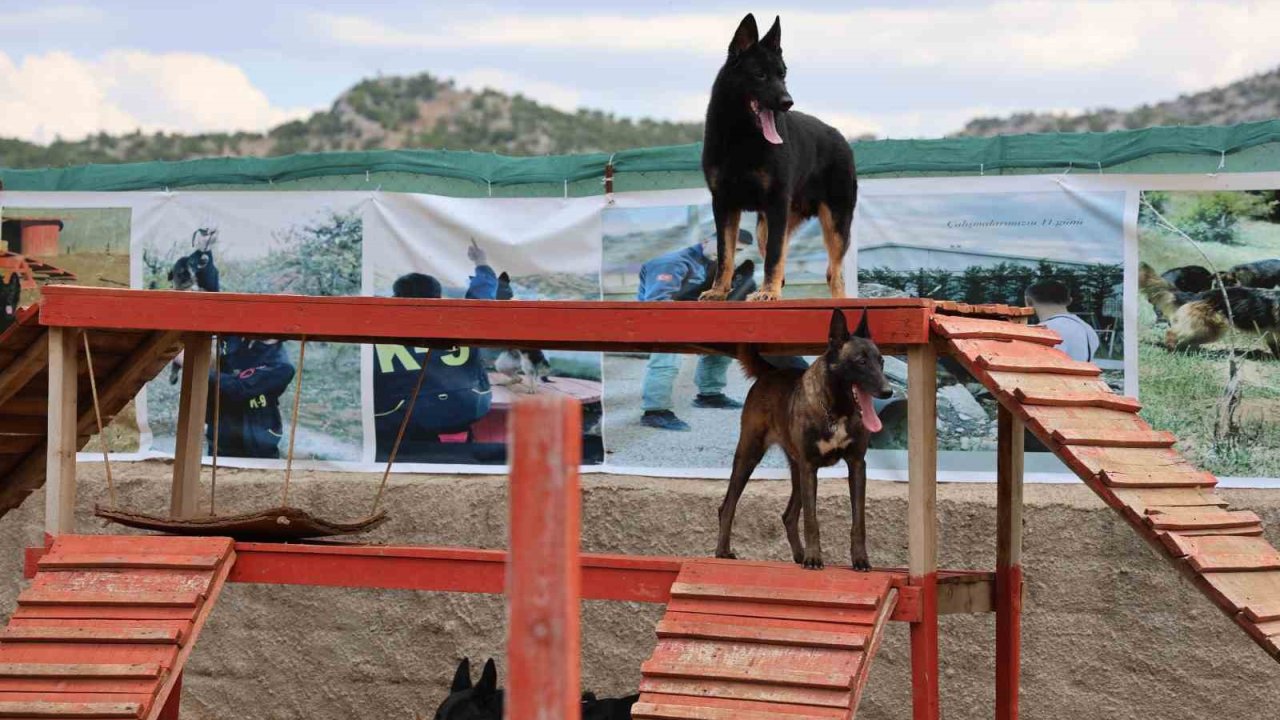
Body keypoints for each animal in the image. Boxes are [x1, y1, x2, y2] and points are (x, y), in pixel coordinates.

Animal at [696, 14, 855, 299]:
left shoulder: (776, 203)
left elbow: (772, 257)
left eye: (782, 75)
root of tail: (841, 138)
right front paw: (719, 291)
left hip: (835, 223)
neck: (742, 137)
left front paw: (768, 293)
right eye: (759, 75)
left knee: (832, 274)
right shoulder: (724, 204)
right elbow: (725, 255)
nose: (788, 102)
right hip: (765, 227)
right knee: (783, 262)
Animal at [721, 308, 890, 566]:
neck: (837, 411)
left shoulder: (856, 466)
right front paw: (814, 558)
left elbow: (858, 521)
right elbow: (811, 519)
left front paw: (860, 559)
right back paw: (722, 552)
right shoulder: (810, 466)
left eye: (881, 361)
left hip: (797, 469)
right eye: (861, 362)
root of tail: (771, 371)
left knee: (789, 515)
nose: (888, 391)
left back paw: (799, 556)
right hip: (749, 455)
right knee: (728, 506)